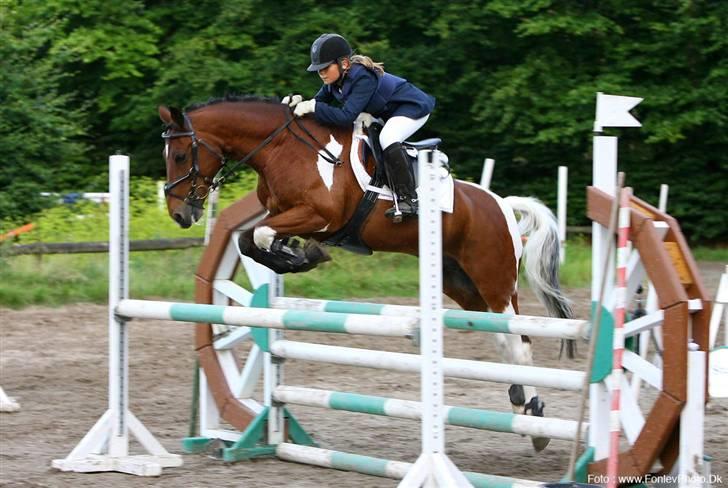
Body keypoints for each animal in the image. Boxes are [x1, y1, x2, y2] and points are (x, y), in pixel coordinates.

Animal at [158, 95, 574, 452]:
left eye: (179, 155)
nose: (180, 214)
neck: (284, 149)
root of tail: (501, 204)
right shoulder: (282, 216)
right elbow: (250, 240)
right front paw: (296, 257)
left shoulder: (317, 216)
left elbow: (258, 235)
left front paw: (304, 256)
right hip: (462, 283)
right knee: (504, 339)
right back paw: (523, 406)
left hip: (495, 281)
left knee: (520, 341)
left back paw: (535, 419)